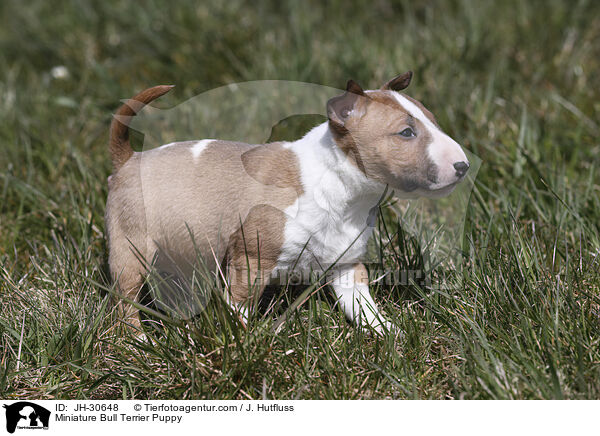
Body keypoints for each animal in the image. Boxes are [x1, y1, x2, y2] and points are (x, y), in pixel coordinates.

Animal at [105, 71, 468, 332]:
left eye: (433, 121)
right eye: (406, 133)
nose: (463, 166)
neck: (337, 188)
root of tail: (129, 159)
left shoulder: (347, 265)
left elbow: (364, 309)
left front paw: (392, 337)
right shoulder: (250, 261)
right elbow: (239, 309)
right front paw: (245, 346)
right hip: (130, 249)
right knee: (126, 302)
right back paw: (138, 342)